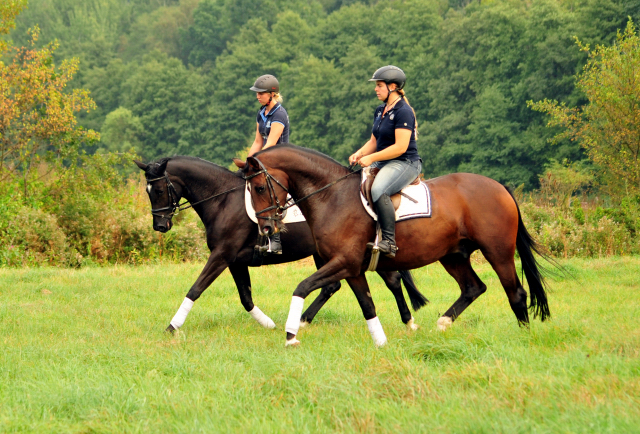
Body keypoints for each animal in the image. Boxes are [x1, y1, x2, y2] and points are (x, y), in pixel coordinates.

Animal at [134, 156, 430, 332]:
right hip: (329, 254)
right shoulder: (234, 260)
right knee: (337, 285)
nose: (160, 226)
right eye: (148, 191)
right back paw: (304, 319)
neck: (222, 200)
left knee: (390, 280)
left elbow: (196, 288)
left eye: (158, 190)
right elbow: (245, 297)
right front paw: (268, 323)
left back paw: (408, 322)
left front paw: (172, 326)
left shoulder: (221, 255)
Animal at [238, 144, 552, 348]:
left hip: (498, 253)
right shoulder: (352, 269)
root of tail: (499, 187)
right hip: (453, 255)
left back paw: (523, 338)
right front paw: (382, 342)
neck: (332, 196)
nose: (266, 229)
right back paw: (443, 323)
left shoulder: (344, 263)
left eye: (260, 188)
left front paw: (291, 334)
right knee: (473, 287)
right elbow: (367, 304)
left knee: (516, 293)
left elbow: (302, 286)